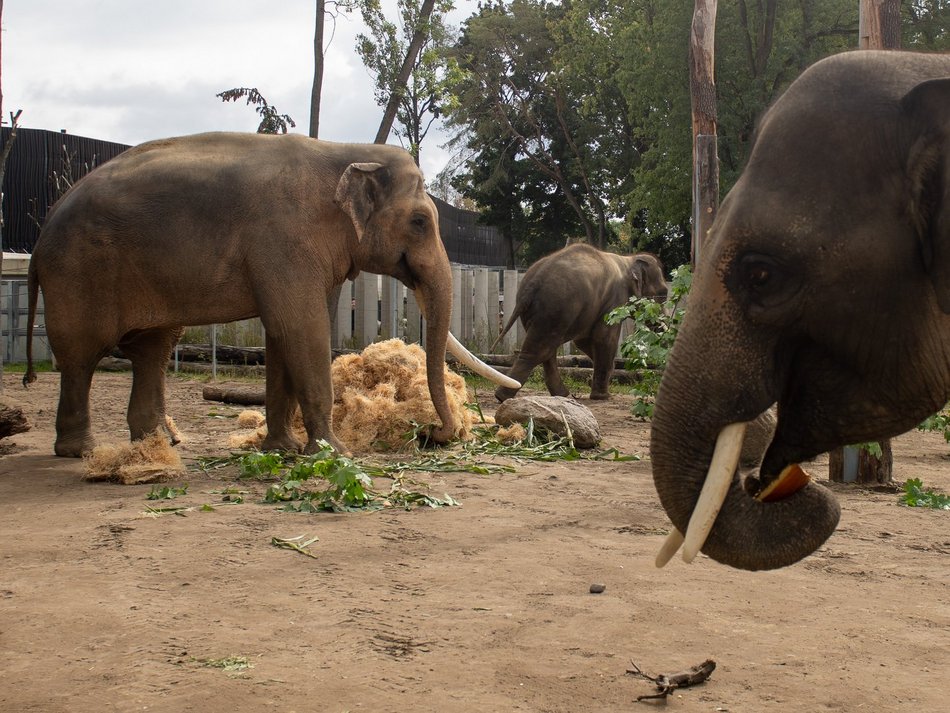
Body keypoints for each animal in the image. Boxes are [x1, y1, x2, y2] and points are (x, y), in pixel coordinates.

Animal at [22, 132, 516, 456]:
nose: (435, 434)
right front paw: (336, 453)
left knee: (152, 350)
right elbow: (300, 326)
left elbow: (283, 334)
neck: (343, 151)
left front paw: (283, 449)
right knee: (82, 355)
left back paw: (158, 443)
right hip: (78, 274)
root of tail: (41, 236)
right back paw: (81, 452)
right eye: (419, 222)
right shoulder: (284, 239)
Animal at [494, 243, 664, 400]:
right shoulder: (615, 300)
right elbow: (604, 338)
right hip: (556, 308)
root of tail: (532, 283)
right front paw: (602, 397)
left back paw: (562, 395)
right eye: (663, 294)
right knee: (539, 351)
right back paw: (503, 397)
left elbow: (583, 340)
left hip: (543, 314)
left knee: (547, 350)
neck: (628, 260)